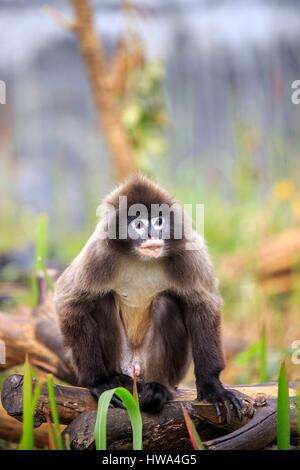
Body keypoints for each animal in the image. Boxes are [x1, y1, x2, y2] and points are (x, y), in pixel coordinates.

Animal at [55, 175, 244, 418]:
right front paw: (99, 382)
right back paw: (117, 378)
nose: (152, 235)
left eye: (158, 222)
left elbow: (202, 303)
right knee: (102, 301)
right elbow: (69, 301)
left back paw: (157, 388)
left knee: (165, 303)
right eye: (138, 225)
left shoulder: (187, 252)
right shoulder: (99, 253)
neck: (141, 258)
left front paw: (213, 387)